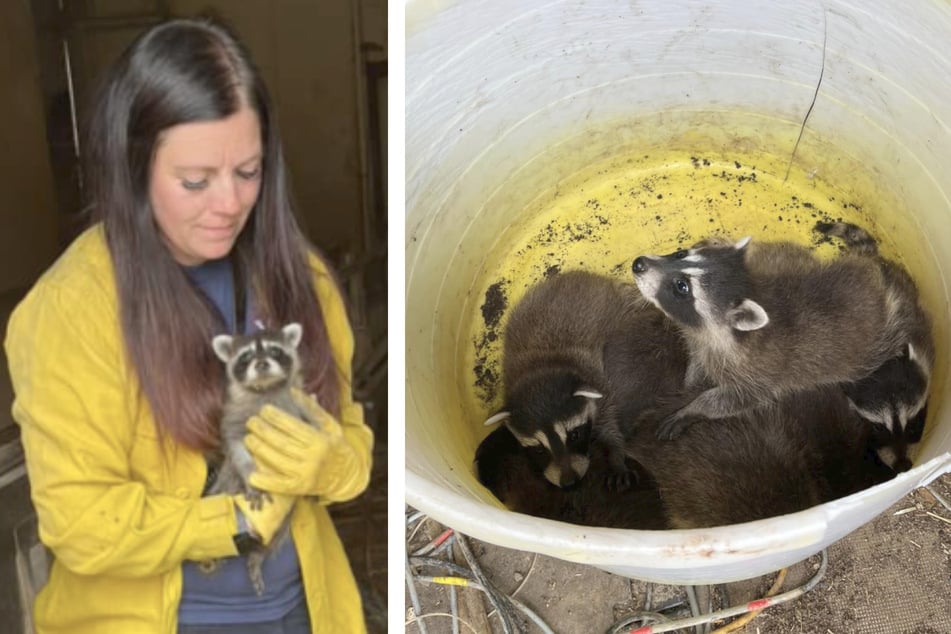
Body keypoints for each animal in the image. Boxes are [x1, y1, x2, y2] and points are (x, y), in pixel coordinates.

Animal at [205, 324, 316, 596]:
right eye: (246, 356)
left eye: (274, 351)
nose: (262, 363)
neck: (264, 388)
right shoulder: (233, 419)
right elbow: (237, 449)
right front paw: (252, 479)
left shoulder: (296, 409)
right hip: (226, 485)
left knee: (275, 535)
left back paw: (259, 555)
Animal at [484, 270, 684, 488]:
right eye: (539, 449)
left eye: (574, 435)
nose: (569, 482)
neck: (540, 369)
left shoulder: (599, 382)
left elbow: (609, 424)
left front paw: (615, 454)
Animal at [632, 232, 908, 440]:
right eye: (680, 254)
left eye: (682, 287)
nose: (638, 263)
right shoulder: (703, 344)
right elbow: (697, 365)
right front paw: (688, 385)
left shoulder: (758, 375)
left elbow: (732, 400)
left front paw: (694, 407)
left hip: (873, 350)